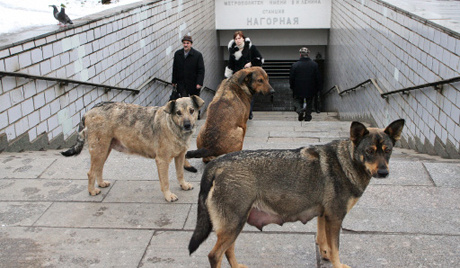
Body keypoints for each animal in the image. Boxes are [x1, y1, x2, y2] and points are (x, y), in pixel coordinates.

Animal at [60, 95, 204, 202]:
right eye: (178, 113)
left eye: (192, 110)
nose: (187, 125)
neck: (172, 126)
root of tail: (89, 110)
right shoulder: (162, 160)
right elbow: (165, 181)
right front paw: (168, 196)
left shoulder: (180, 156)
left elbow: (180, 174)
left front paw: (183, 185)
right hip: (99, 149)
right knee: (91, 172)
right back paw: (92, 191)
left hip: (105, 149)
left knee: (99, 168)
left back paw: (101, 183)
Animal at [189, 120, 404, 268]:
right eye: (369, 151)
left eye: (388, 150)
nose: (384, 173)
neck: (347, 161)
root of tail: (217, 163)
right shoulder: (335, 218)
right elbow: (335, 248)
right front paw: (336, 263)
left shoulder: (324, 215)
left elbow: (323, 242)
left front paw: (324, 255)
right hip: (234, 223)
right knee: (215, 255)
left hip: (234, 224)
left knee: (228, 250)